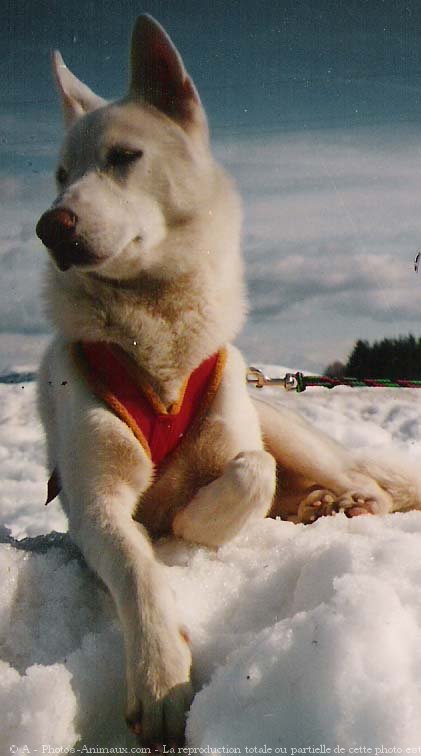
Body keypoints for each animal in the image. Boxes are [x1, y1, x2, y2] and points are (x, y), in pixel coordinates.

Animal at [35, 14, 420, 748]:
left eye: (123, 157)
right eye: (61, 175)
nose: (49, 226)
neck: (155, 339)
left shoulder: (237, 442)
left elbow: (248, 471)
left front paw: (189, 520)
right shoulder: (93, 502)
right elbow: (138, 566)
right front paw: (160, 674)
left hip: (292, 432)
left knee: (358, 480)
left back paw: (345, 502)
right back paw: (313, 506)